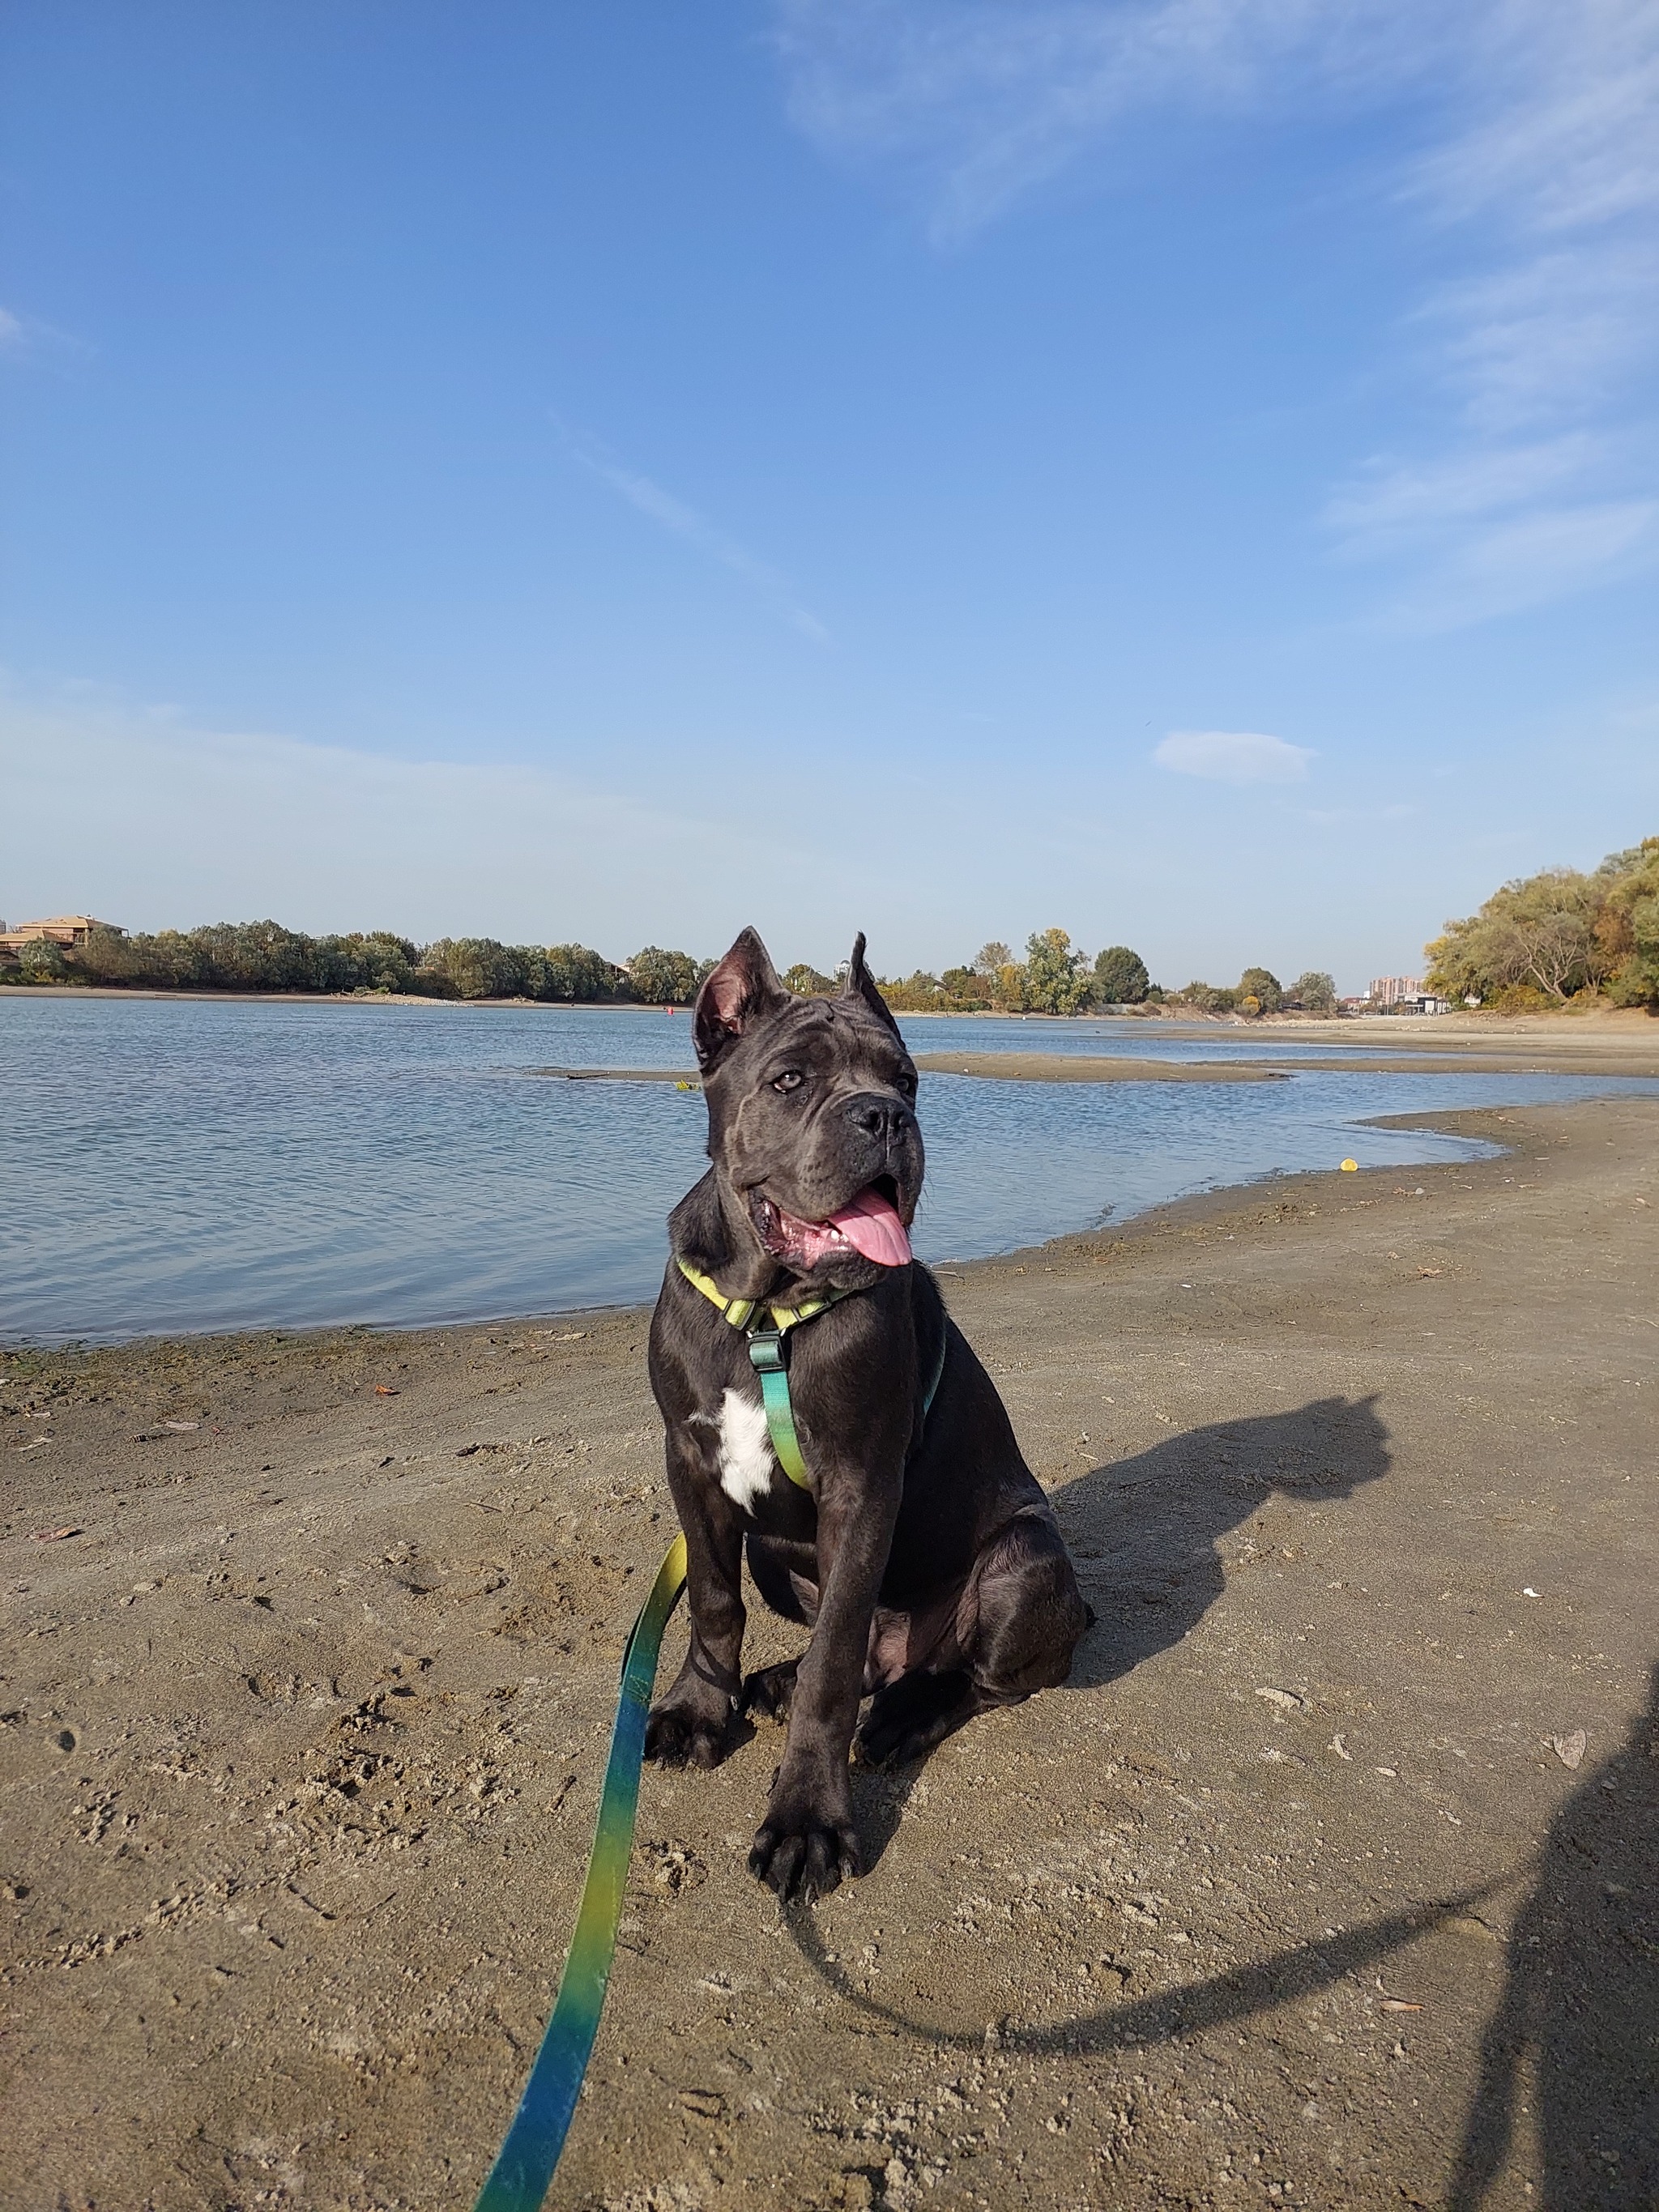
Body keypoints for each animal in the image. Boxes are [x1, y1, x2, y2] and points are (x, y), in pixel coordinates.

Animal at [641, 933, 1097, 1902]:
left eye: (909, 1079)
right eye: (789, 1080)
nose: (884, 1117)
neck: (767, 1314)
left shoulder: (860, 1488)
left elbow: (834, 1661)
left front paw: (807, 1819)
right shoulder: (690, 1462)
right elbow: (713, 1601)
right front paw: (701, 1709)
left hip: (1024, 1560)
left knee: (967, 1678)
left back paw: (898, 1716)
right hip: (777, 1558)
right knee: (848, 1653)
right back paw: (781, 1682)